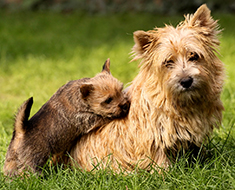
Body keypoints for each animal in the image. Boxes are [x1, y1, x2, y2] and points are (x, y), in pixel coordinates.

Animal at [61, 4, 224, 171]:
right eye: (168, 62)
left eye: (194, 56)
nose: (186, 81)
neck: (179, 102)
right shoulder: (151, 138)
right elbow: (158, 158)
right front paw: (165, 173)